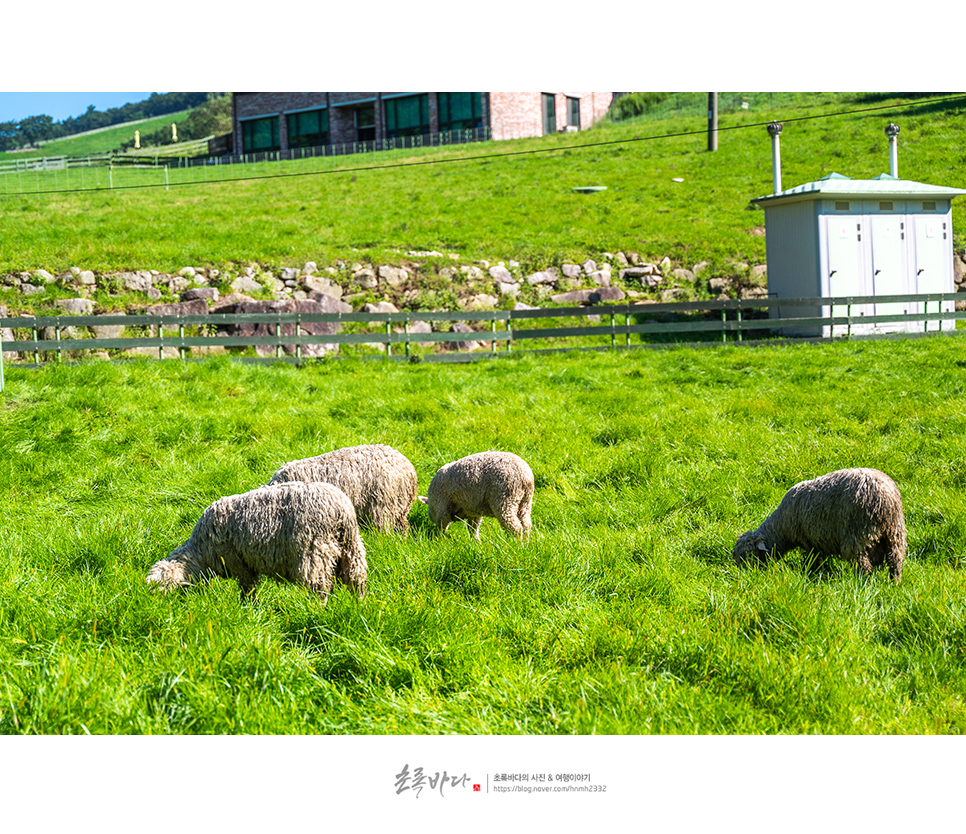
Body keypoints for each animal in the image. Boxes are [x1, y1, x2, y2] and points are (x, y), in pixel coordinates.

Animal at [146, 478, 368, 600]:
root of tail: (341, 510)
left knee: (321, 589)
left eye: (162, 588)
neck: (200, 553)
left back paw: (317, 610)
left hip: (315, 552)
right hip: (351, 548)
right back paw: (359, 606)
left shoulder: (240, 563)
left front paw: (246, 607)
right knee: (357, 579)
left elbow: (248, 589)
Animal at [736, 464, 912, 580]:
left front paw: (811, 573)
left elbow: (812, 561)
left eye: (748, 555)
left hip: (858, 535)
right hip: (895, 533)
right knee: (896, 561)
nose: (741, 574)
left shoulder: (809, 541)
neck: (782, 529)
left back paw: (863, 583)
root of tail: (885, 499)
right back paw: (894, 583)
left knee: (863, 565)